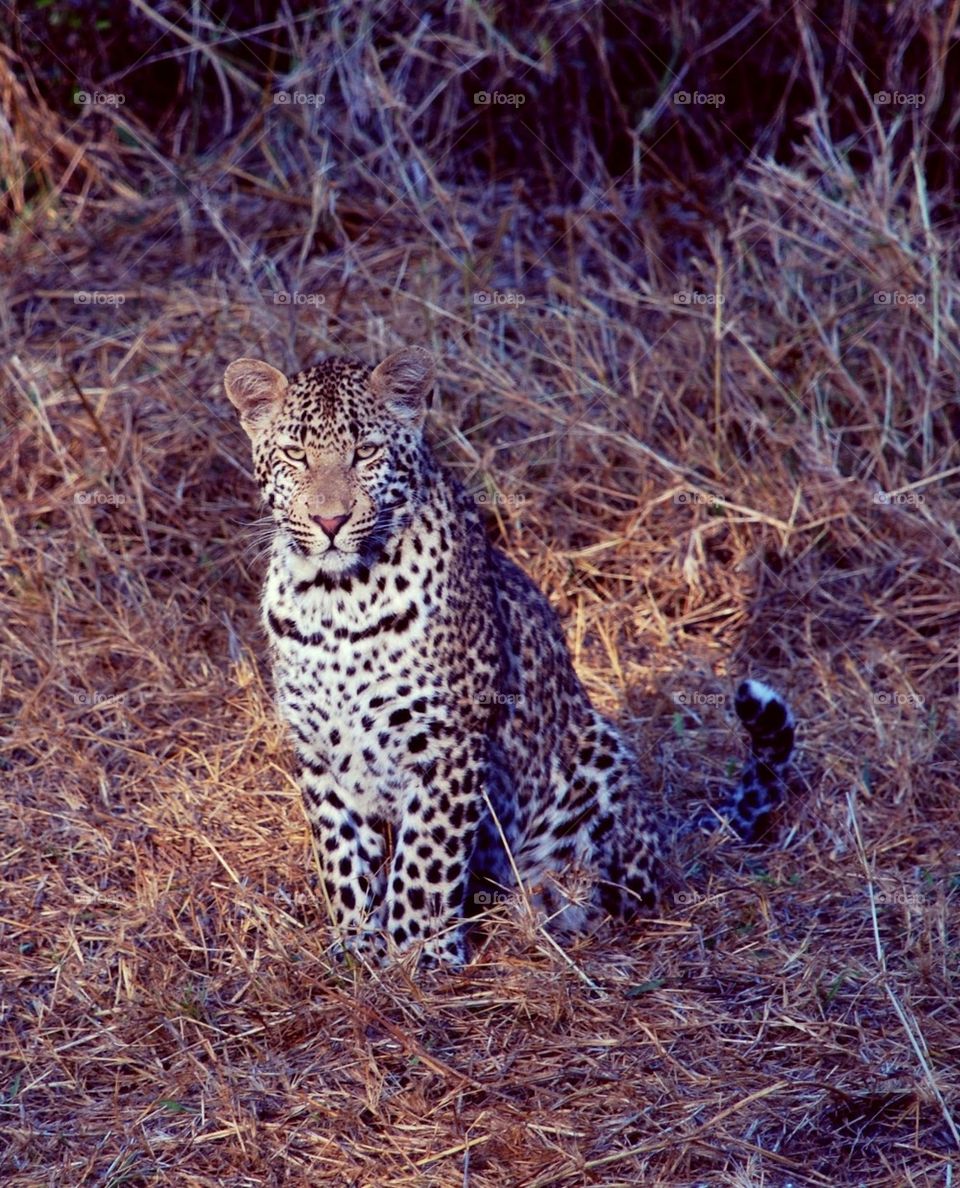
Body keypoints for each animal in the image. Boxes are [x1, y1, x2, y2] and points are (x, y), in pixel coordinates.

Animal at [224, 346, 793, 964]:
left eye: (366, 452)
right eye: (295, 455)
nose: (330, 521)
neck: (335, 599)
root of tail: (660, 835)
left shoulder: (447, 743)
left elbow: (424, 865)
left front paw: (417, 958)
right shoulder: (320, 751)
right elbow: (342, 857)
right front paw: (357, 951)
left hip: (596, 756)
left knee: (620, 888)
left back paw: (545, 905)